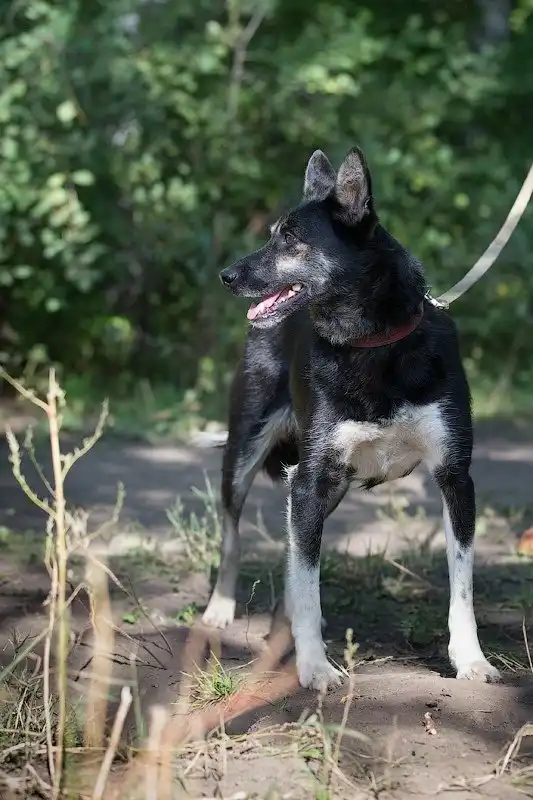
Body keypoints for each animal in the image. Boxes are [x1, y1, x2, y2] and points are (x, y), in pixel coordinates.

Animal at [202, 145, 501, 691]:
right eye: (272, 233)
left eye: (291, 238)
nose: (227, 276)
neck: (371, 345)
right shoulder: (310, 479)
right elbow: (306, 576)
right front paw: (315, 666)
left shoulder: (455, 479)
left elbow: (462, 586)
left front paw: (470, 659)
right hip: (245, 453)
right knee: (234, 536)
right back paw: (221, 609)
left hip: (331, 485)